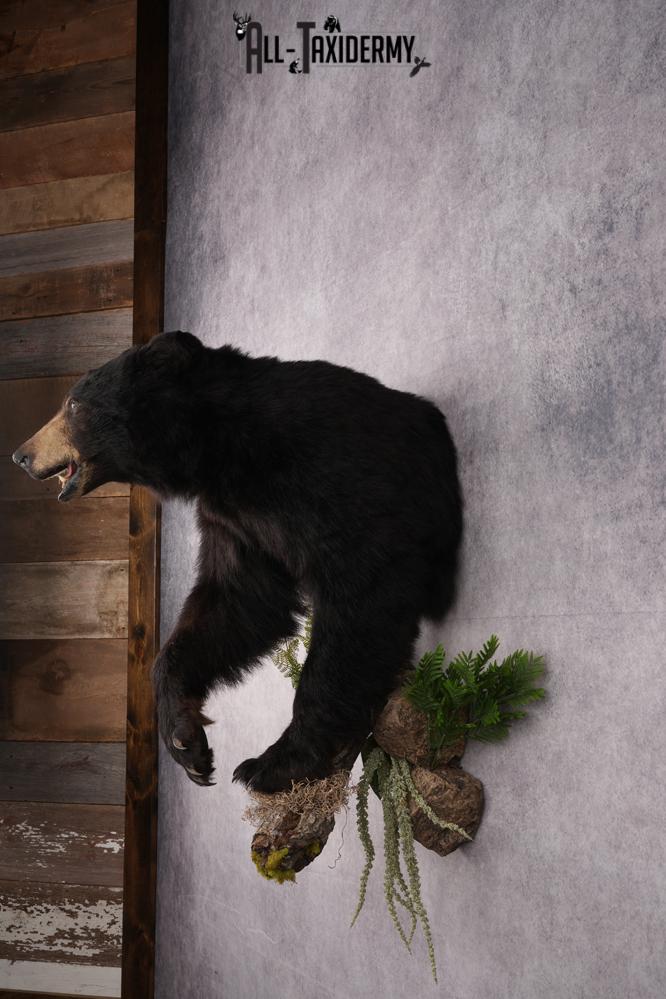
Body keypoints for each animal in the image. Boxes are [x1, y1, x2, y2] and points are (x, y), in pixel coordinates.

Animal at [12, 330, 463, 793]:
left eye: (73, 403)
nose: (21, 455)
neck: (221, 451)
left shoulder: (331, 473)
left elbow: (361, 587)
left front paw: (277, 762)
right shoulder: (236, 522)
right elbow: (240, 602)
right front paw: (186, 742)